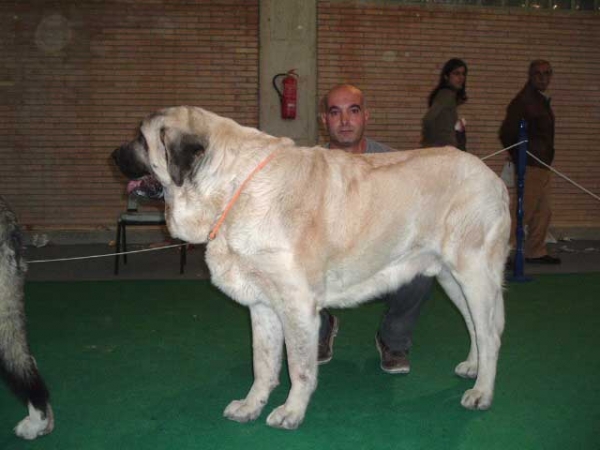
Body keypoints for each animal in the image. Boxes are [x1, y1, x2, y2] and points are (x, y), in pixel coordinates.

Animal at [112, 105, 510, 428]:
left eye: (141, 139)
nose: (113, 153)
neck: (233, 187)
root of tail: (492, 176)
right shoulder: (262, 305)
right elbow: (263, 363)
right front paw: (251, 406)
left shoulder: (297, 305)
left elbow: (299, 367)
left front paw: (291, 412)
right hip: (451, 278)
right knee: (476, 327)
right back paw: (473, 369)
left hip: (474, 274)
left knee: (490, 334)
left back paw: (483, 393)